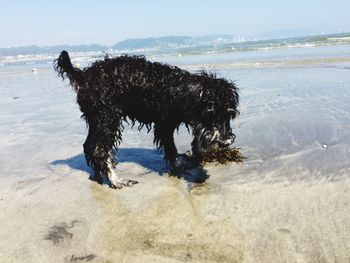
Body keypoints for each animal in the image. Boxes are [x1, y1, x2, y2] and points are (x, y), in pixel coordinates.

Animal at [54, 50, 239, 189]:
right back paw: (116, 180)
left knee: (89, 146)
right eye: (210, 112)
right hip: (108, 119)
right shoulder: (164, 126)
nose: (225, 142)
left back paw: (98, 174)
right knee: (100, 150)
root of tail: (84, 76)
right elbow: (171, 150)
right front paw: (179, 167)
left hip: (96, 120)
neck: (178, 91)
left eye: (229, 114)